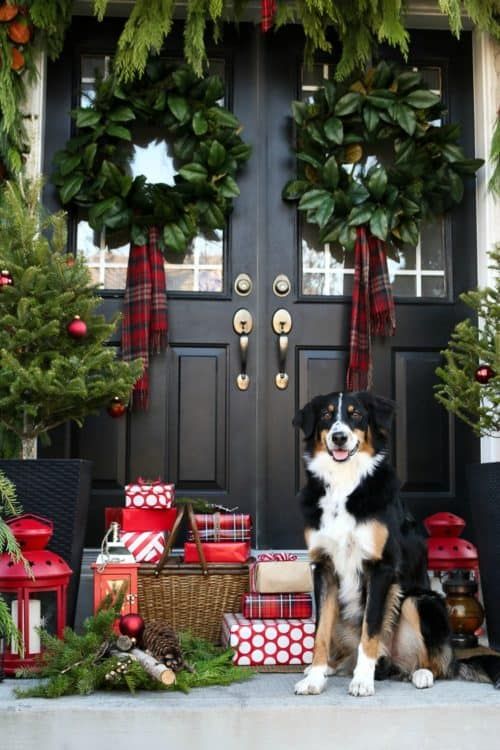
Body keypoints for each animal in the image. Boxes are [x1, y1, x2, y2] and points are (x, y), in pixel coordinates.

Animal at [292, 394, 500, 700]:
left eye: (356, 415)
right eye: (327, 416)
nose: (339, 437)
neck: (344, 482)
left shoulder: (381, 567)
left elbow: (371, 629)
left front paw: (362, 681)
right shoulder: (324, 567)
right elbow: (320, 632)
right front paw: (315, 679)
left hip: (421, 600)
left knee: (440, 664)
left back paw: (421, 673)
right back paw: (333, 666)